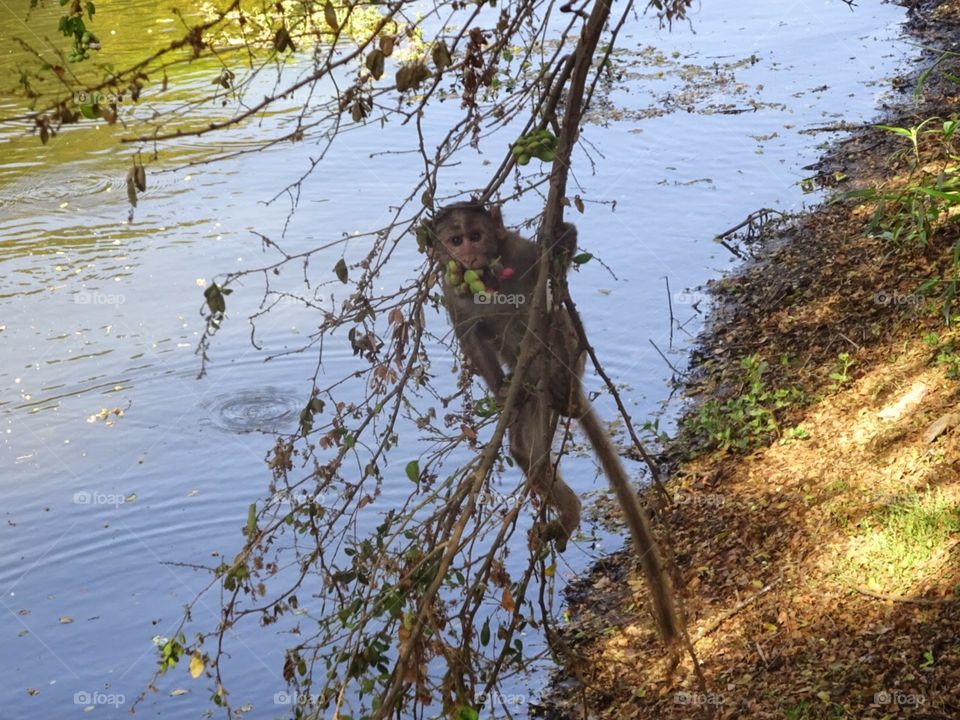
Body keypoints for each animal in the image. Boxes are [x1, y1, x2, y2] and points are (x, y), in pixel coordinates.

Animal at [428, 202, 679, 643]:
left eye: (476, 235)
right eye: (455, 240)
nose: (469, 254)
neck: (489, 277)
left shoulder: (520, 251)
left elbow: (553, 272)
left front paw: (561, 237)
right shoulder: (450, 290)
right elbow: (471, 336)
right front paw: (500, 392)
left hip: (565, 362)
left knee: (557, 323)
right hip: (532, 394)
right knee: (526, 451)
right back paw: (564, 505)